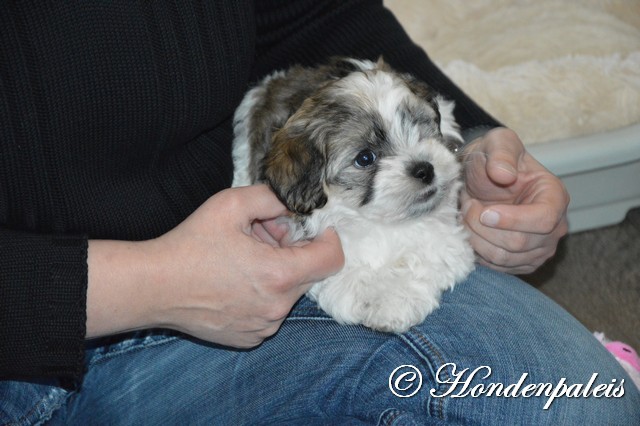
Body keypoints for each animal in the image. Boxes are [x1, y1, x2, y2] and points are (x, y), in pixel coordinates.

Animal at [232, 57, 472, 332]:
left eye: (419, 129)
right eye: (365, 158)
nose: (424, 169)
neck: (377, 220)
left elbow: (434, 250)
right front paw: (387, 299)